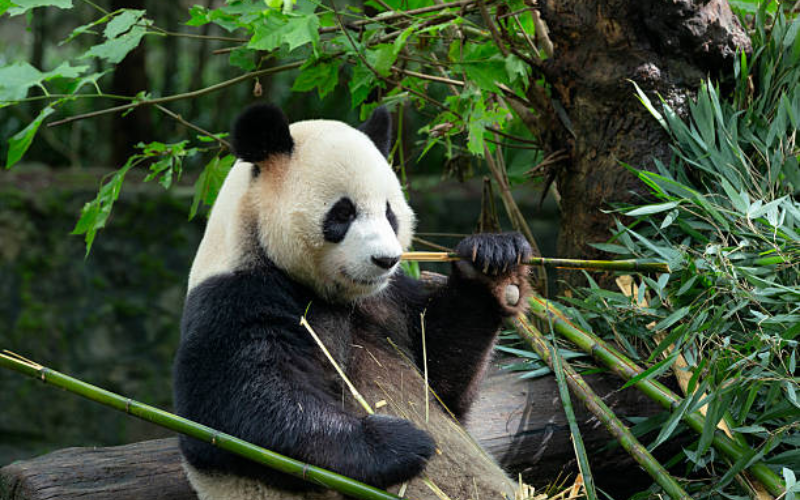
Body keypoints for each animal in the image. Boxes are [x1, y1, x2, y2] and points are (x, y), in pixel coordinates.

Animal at [173, 103, 532, 500]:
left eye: (390, 213)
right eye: (343, 213)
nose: (385, 260)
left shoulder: (388, 299)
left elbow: (444, 379)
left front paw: (493, 263)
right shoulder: (235, 298)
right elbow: (237, 409)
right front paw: (400, 441)